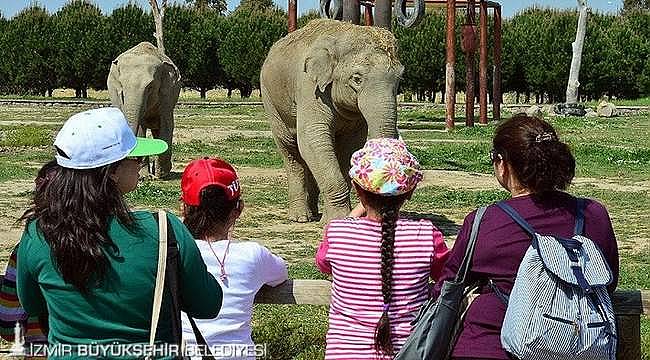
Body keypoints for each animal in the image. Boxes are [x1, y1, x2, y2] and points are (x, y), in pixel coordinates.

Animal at [107, 41, 180, 178]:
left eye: (150, 87)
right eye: (122, 87)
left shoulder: (167, 93)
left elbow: (166, 123)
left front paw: (160, 175)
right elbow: (141, 127)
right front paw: (144, 176)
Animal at [258, 20, 400, 222]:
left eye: (399, 79)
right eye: (357, 79)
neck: (344, 34)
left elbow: (349, 147)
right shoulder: (309, 88)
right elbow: (311, 138)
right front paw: (337, 219)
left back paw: (312, 213)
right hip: (271, 101)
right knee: (291, 151)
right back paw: (300, 217)